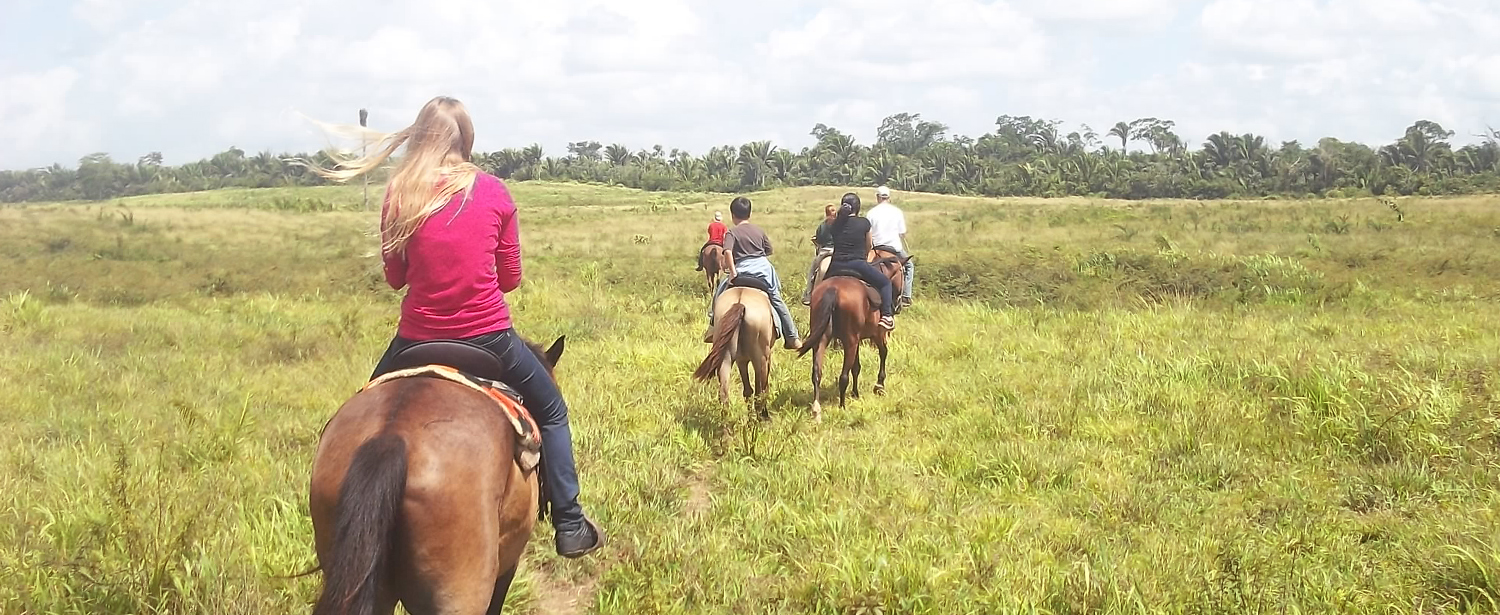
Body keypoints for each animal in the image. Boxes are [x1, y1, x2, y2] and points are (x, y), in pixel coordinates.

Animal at [693, 277, 780, 417]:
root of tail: (740, 303)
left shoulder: (741, 360)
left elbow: (747, 391)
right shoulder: (766, 357)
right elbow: (761, 388)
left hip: (725, 358)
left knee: (724, 394)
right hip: (760, 358)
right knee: (759, 394)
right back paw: (761, 419)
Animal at [798, 252, 900, 420]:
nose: (898, 304)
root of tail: (833, 290)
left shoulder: (857, 340)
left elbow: (856, 367)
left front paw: (856, 393)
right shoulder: (877, 334)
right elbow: (883, 353)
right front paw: (879, 386)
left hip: (823, 340)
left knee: (817, 372)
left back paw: (816, 409)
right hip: (849, 341)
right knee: (843, 376)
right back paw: (842, 406)